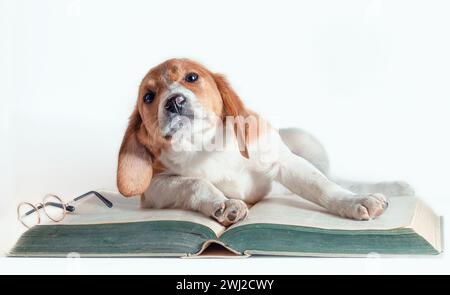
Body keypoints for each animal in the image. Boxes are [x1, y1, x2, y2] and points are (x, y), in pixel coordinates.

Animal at [117, 59, 414, 228]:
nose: (175, 102)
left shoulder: (284, 162)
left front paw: (352, 202)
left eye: (191, 77)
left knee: (334, 179)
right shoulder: (154, 188)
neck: (204, 146)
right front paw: (224, 204)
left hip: (306, 141)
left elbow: (322, 187)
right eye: (148, 97)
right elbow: (195, 183)